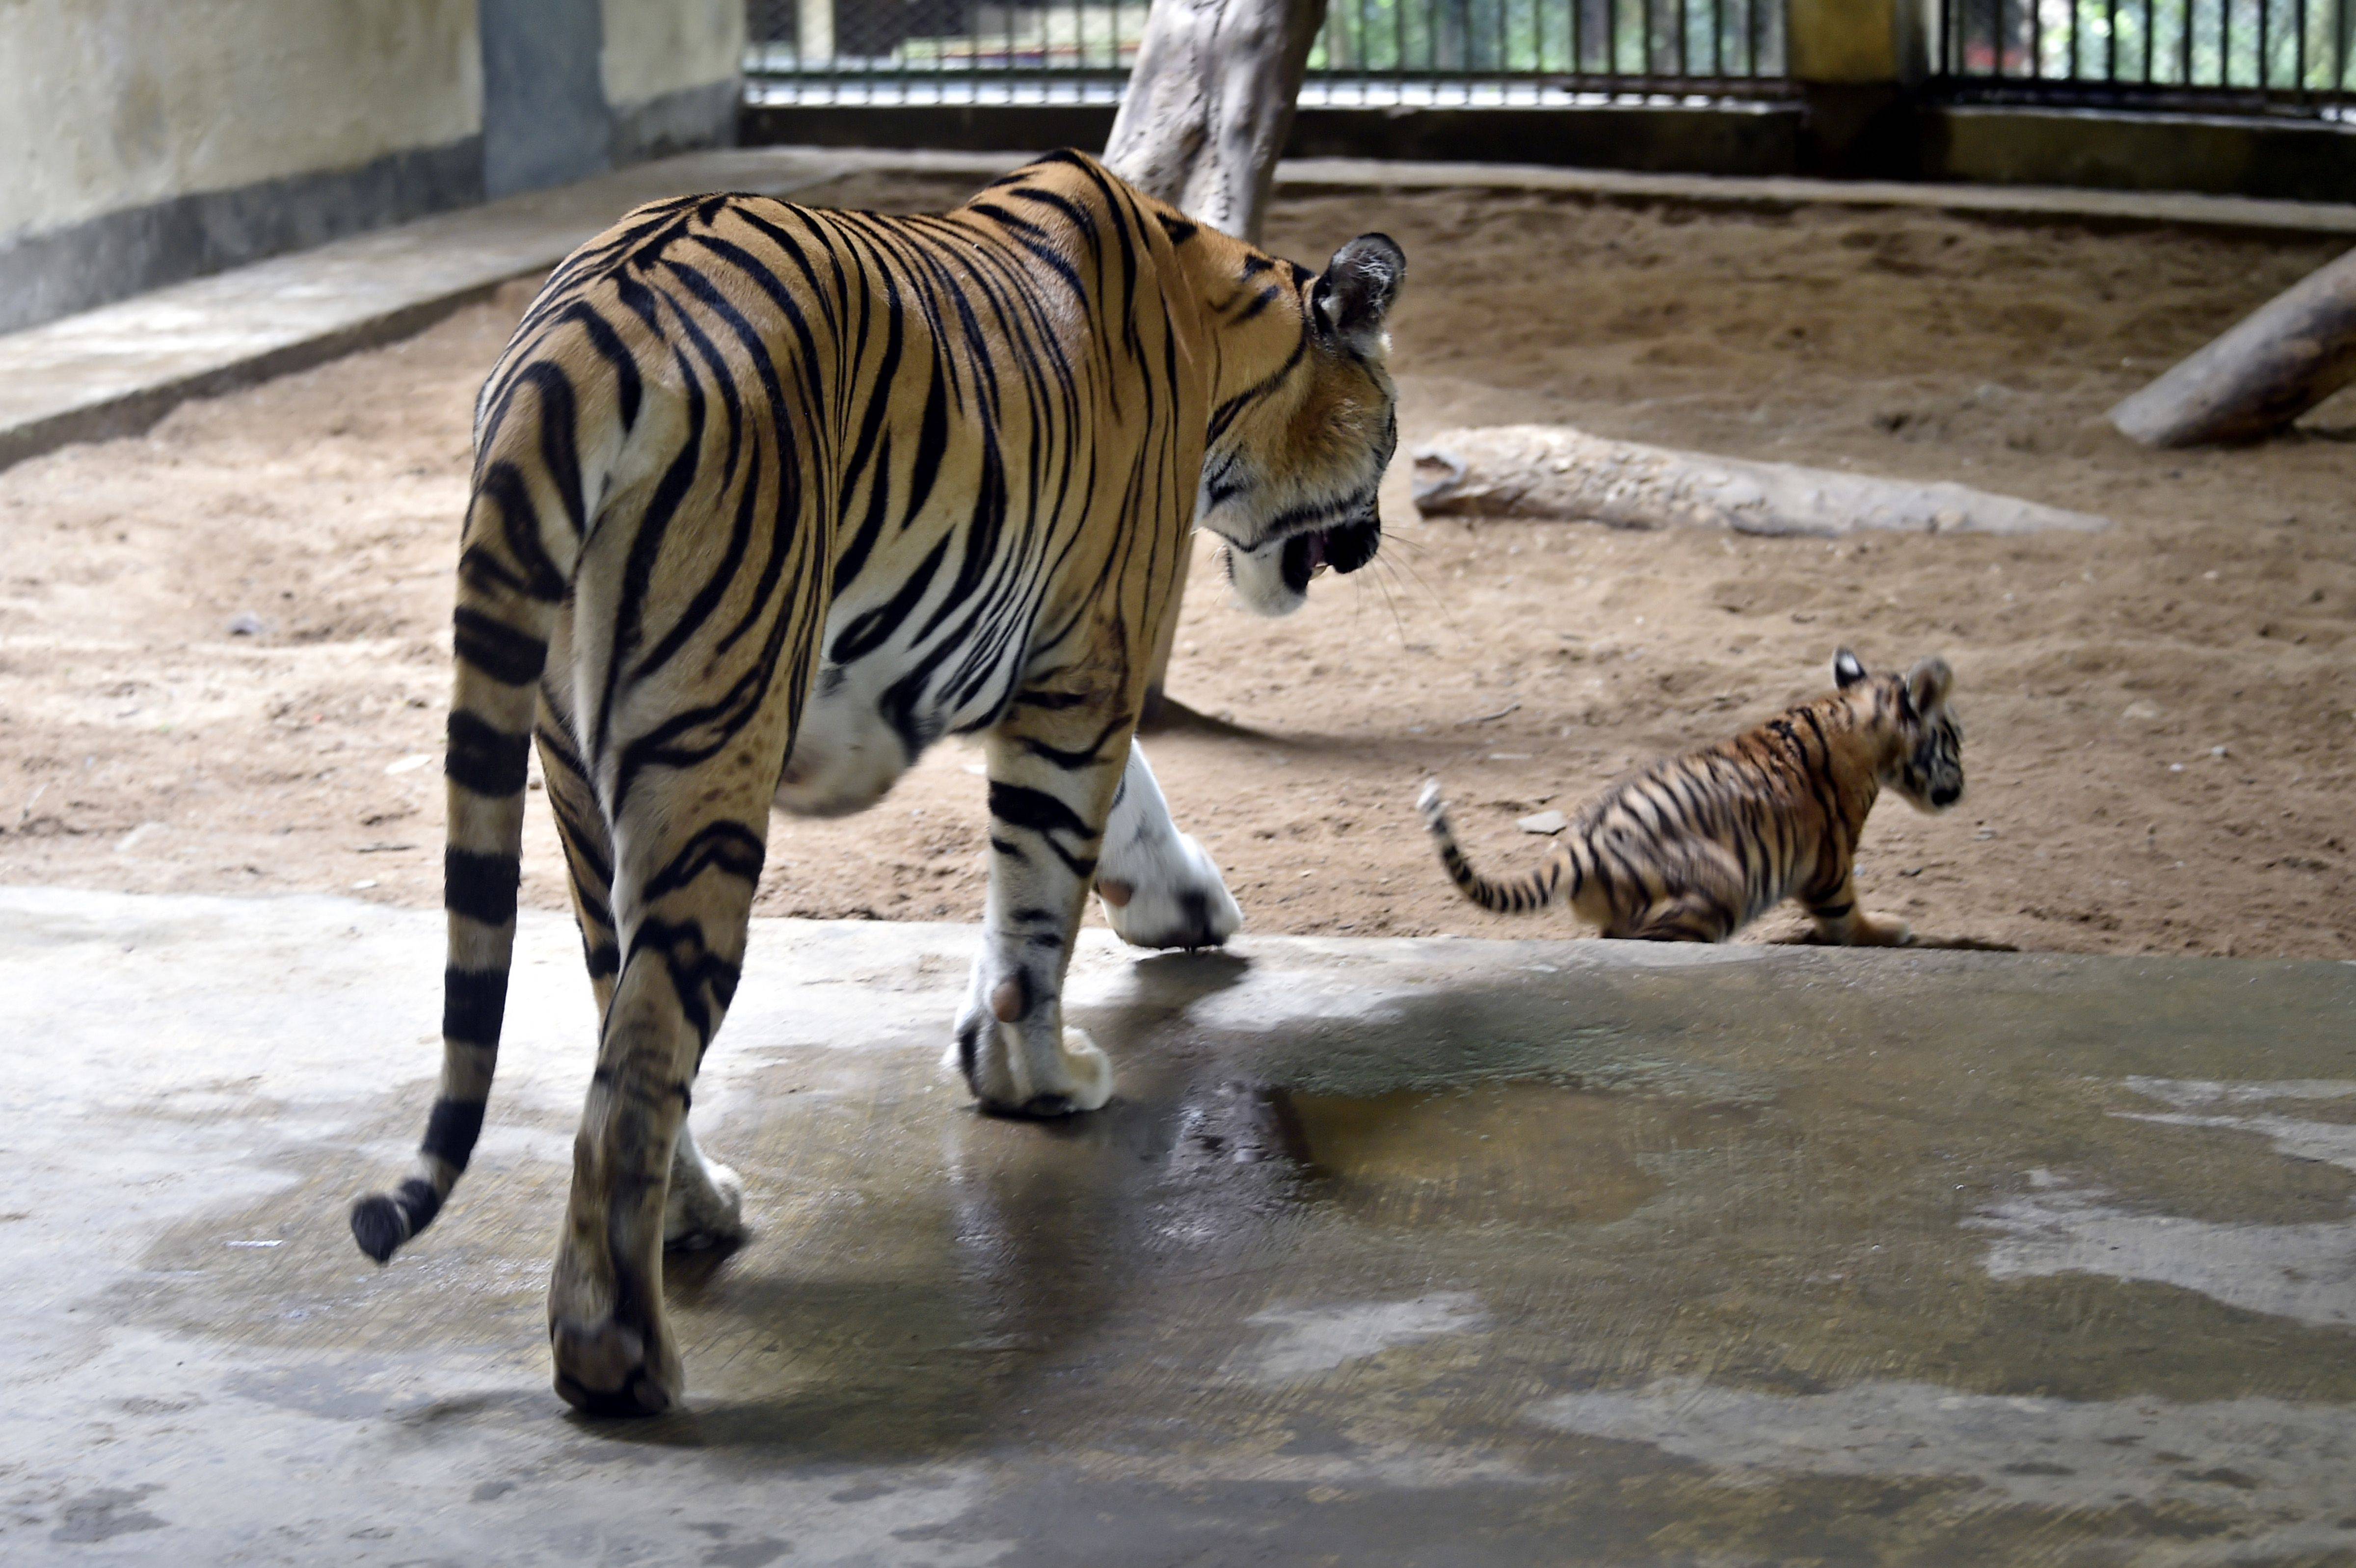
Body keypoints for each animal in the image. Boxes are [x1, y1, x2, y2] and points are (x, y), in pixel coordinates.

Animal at [344, 153, 1404, 1412]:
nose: (1373, 537)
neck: (1224, 330)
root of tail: (575, 335)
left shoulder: (1022, 647)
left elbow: (1106, 821)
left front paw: (1172, 907)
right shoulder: (1090, 656)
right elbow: (1041, 896)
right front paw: (1038, 1080)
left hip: (575, 769)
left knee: (616, 1014)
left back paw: (695, 1221)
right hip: (710, 738)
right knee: (647, 1046)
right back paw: (619, 1352)